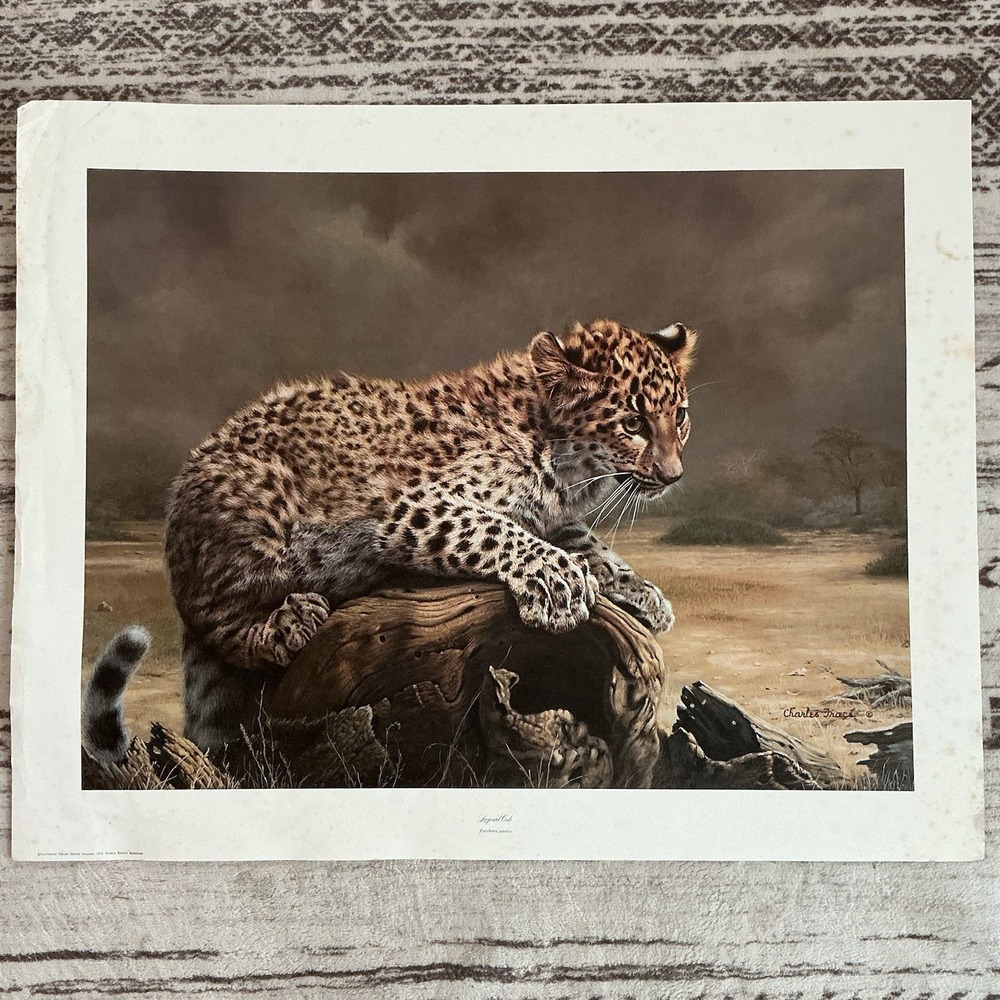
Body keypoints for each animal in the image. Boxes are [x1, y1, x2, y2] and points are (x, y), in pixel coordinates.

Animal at [162, 318, 696, 750]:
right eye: (633, 423)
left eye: (680, 417)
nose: (674, 475)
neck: (565, 466)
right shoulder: (410, 506)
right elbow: (494, 528)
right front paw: (558, 580)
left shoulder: (555, 518)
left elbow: (593, 547)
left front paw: (642, 593)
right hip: (252, 518)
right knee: (217, 620)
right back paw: (289, 622)